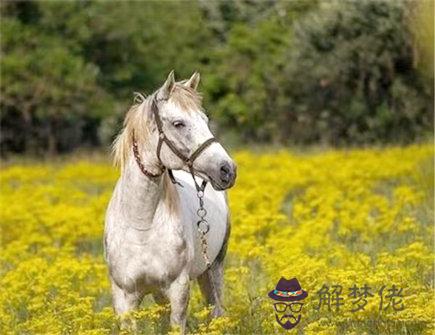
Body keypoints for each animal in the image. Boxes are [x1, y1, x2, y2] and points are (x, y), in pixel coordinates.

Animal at [104, 71, 237, 334]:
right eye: (179, 123)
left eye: (205, 120)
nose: (227, 170)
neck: (141, 224)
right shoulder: (124, 297)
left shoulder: (178, 289)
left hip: (212, 269)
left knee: (215, 310)